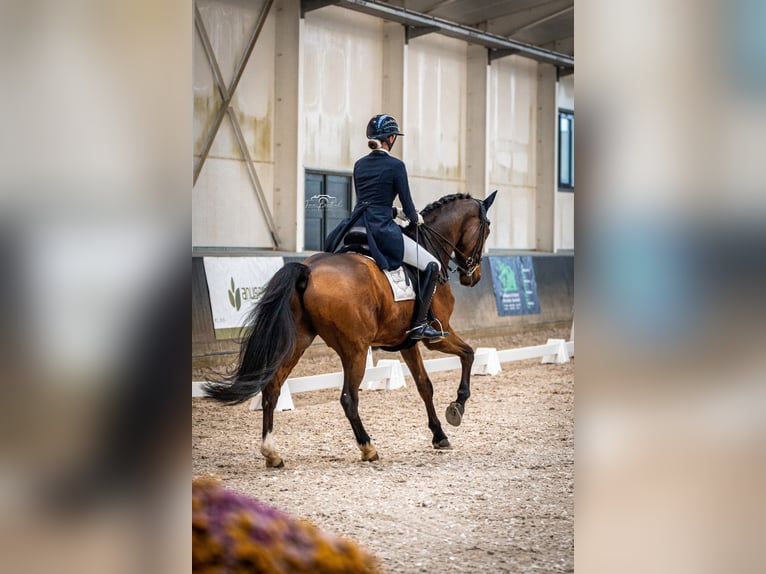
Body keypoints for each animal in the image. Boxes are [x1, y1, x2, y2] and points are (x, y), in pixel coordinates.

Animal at [206, 191, 498, 470]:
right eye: (487, 229)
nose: (473, 277)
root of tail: (308, 269)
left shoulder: (408, 342)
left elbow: (424, 385)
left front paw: (439, 435)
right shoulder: (438, 335)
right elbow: (469, 354)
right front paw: (457, 407)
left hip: (299, 341)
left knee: (272, 389)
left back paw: (272, 453)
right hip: (355, 349)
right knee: (348, 398)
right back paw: (368, 448)